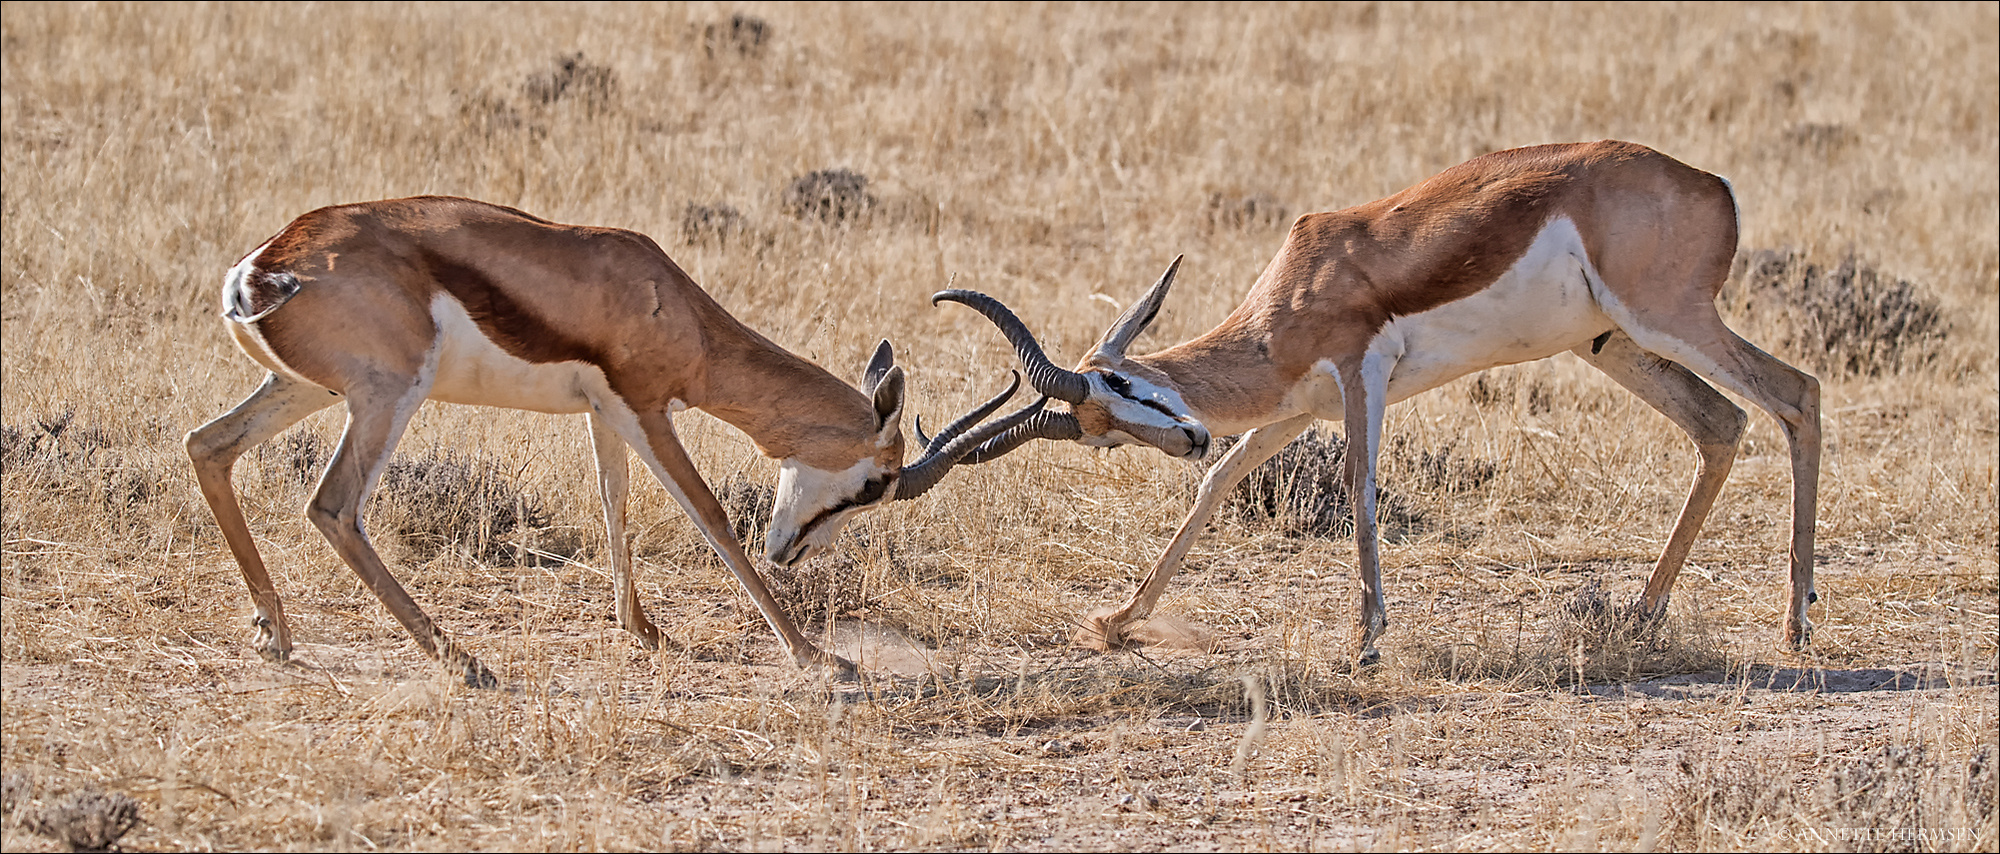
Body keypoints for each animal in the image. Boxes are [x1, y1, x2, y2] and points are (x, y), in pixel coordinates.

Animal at [186, 196, 1032, 688]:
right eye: (875, 484)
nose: (791, 554)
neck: (664, 299)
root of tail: (263, 267)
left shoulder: (603, 412)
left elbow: (612, 503)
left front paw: (645, 632)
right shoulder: (646, 406)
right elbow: (710, 518)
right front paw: (818, 656)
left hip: (310, 389)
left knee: (208, 445)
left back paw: (274, 634)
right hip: (387, 397)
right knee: (333, 507)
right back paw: (465, 661)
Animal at [936, 140, 1832, 668]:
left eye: (1118, 386)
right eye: (1101, 438)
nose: (1184, 439)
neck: (1293, 294)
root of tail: (1710, 183)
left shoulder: (1360, 372)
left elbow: (1361, 491)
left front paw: (1365, 641)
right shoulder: (1300, 410)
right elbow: (1219, 486)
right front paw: (1119, 621)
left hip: (1665, 317)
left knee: (1797, 394)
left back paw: (1794, 625)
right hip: (1612, 342)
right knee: (1722, 424)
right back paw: (1642, 618)